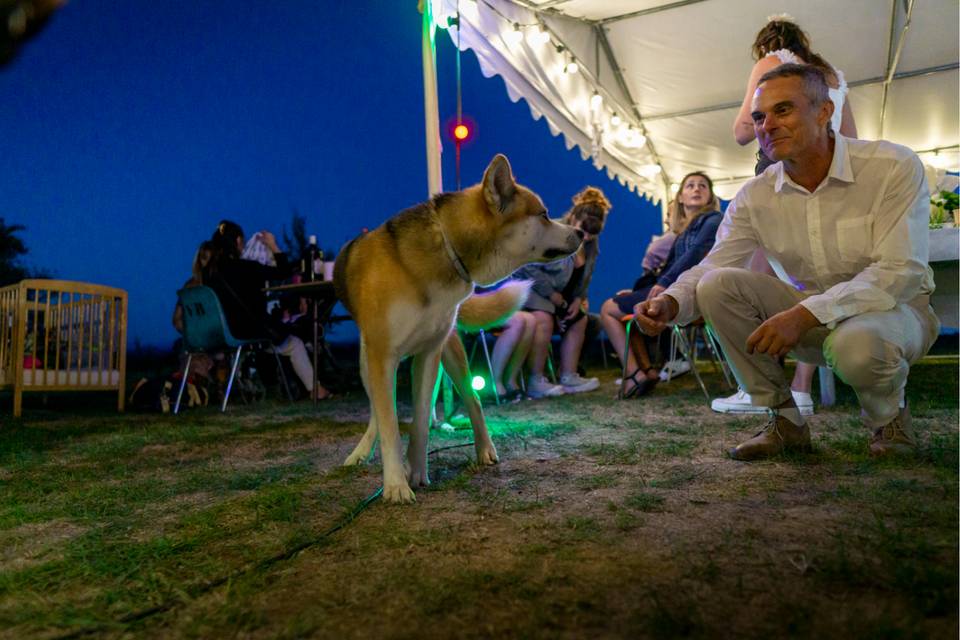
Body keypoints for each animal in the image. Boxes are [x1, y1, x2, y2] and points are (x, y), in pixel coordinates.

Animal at [334, 152, 580, 502]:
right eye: (544, 215)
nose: (581, 233)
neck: (447, 250)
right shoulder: (382, 358)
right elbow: (390, 424)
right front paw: (396, 483)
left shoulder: (429, 355)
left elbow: (421, 419)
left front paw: (416, 471)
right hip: (367, 363)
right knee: (376, 416)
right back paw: (361, 453)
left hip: (450, 354)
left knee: (473, 398)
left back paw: (484, 449)